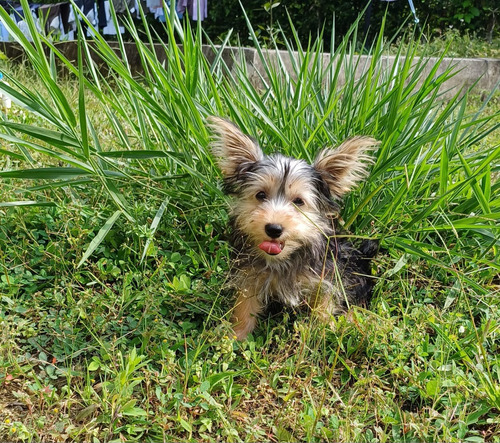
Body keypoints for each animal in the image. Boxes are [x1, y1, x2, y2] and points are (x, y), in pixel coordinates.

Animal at [208, 117, 378, 340]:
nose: (273, 228)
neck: (282, 261)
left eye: (299, 201)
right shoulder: (249, 276)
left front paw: (324, 331)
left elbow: (325, 305)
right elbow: (244, 306)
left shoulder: (328, 276)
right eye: (260, 195)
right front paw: (235, 335)